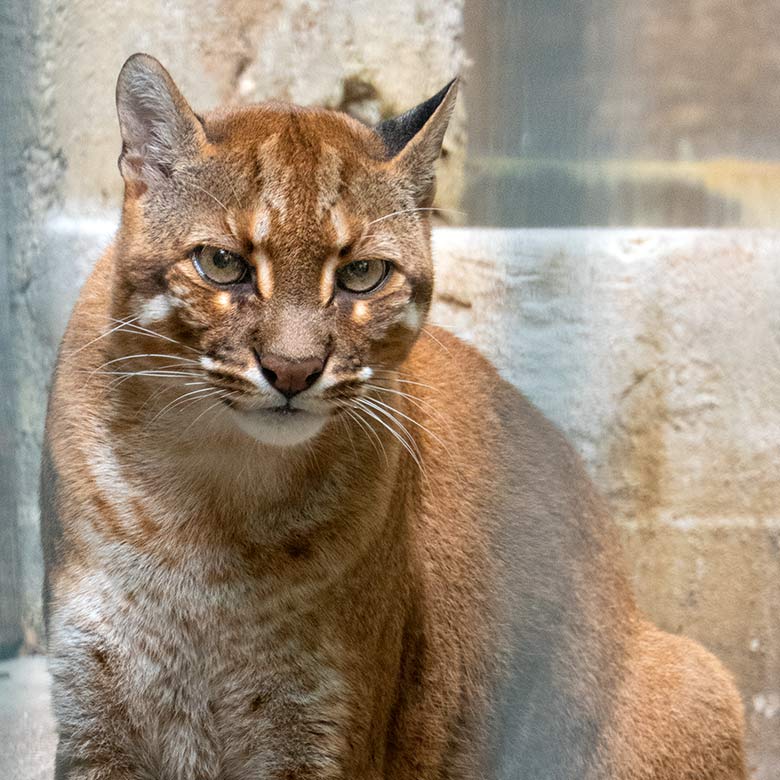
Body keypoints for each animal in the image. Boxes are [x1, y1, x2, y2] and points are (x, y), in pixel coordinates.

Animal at [39, 54, 748, 780]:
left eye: (362, 276)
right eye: (221, 263)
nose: (292, 371)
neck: (212, 501)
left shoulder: (317, 725)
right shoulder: (93, 708)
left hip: (696, 676)